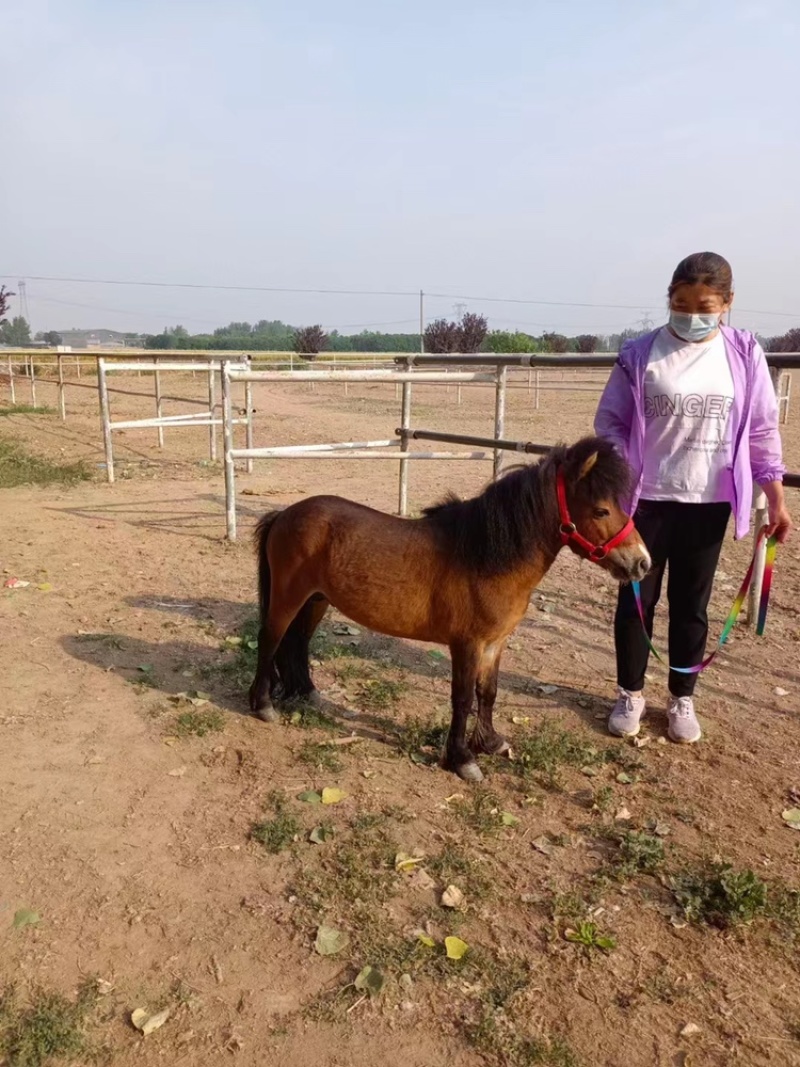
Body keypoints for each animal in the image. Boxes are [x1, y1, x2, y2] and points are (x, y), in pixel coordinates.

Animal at [248, 435, 650, 781]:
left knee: (296, 642)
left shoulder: (495, 643)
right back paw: (263, 704)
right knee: (270, 639)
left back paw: (307, 693)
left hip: (316, 600)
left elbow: (488, 692)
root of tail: (283, 514)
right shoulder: (466, 644)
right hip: (288, 596)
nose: (642, 563)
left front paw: (489, 742)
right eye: (601, 510)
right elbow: (462, 697)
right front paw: (462, 759)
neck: (484, 557)